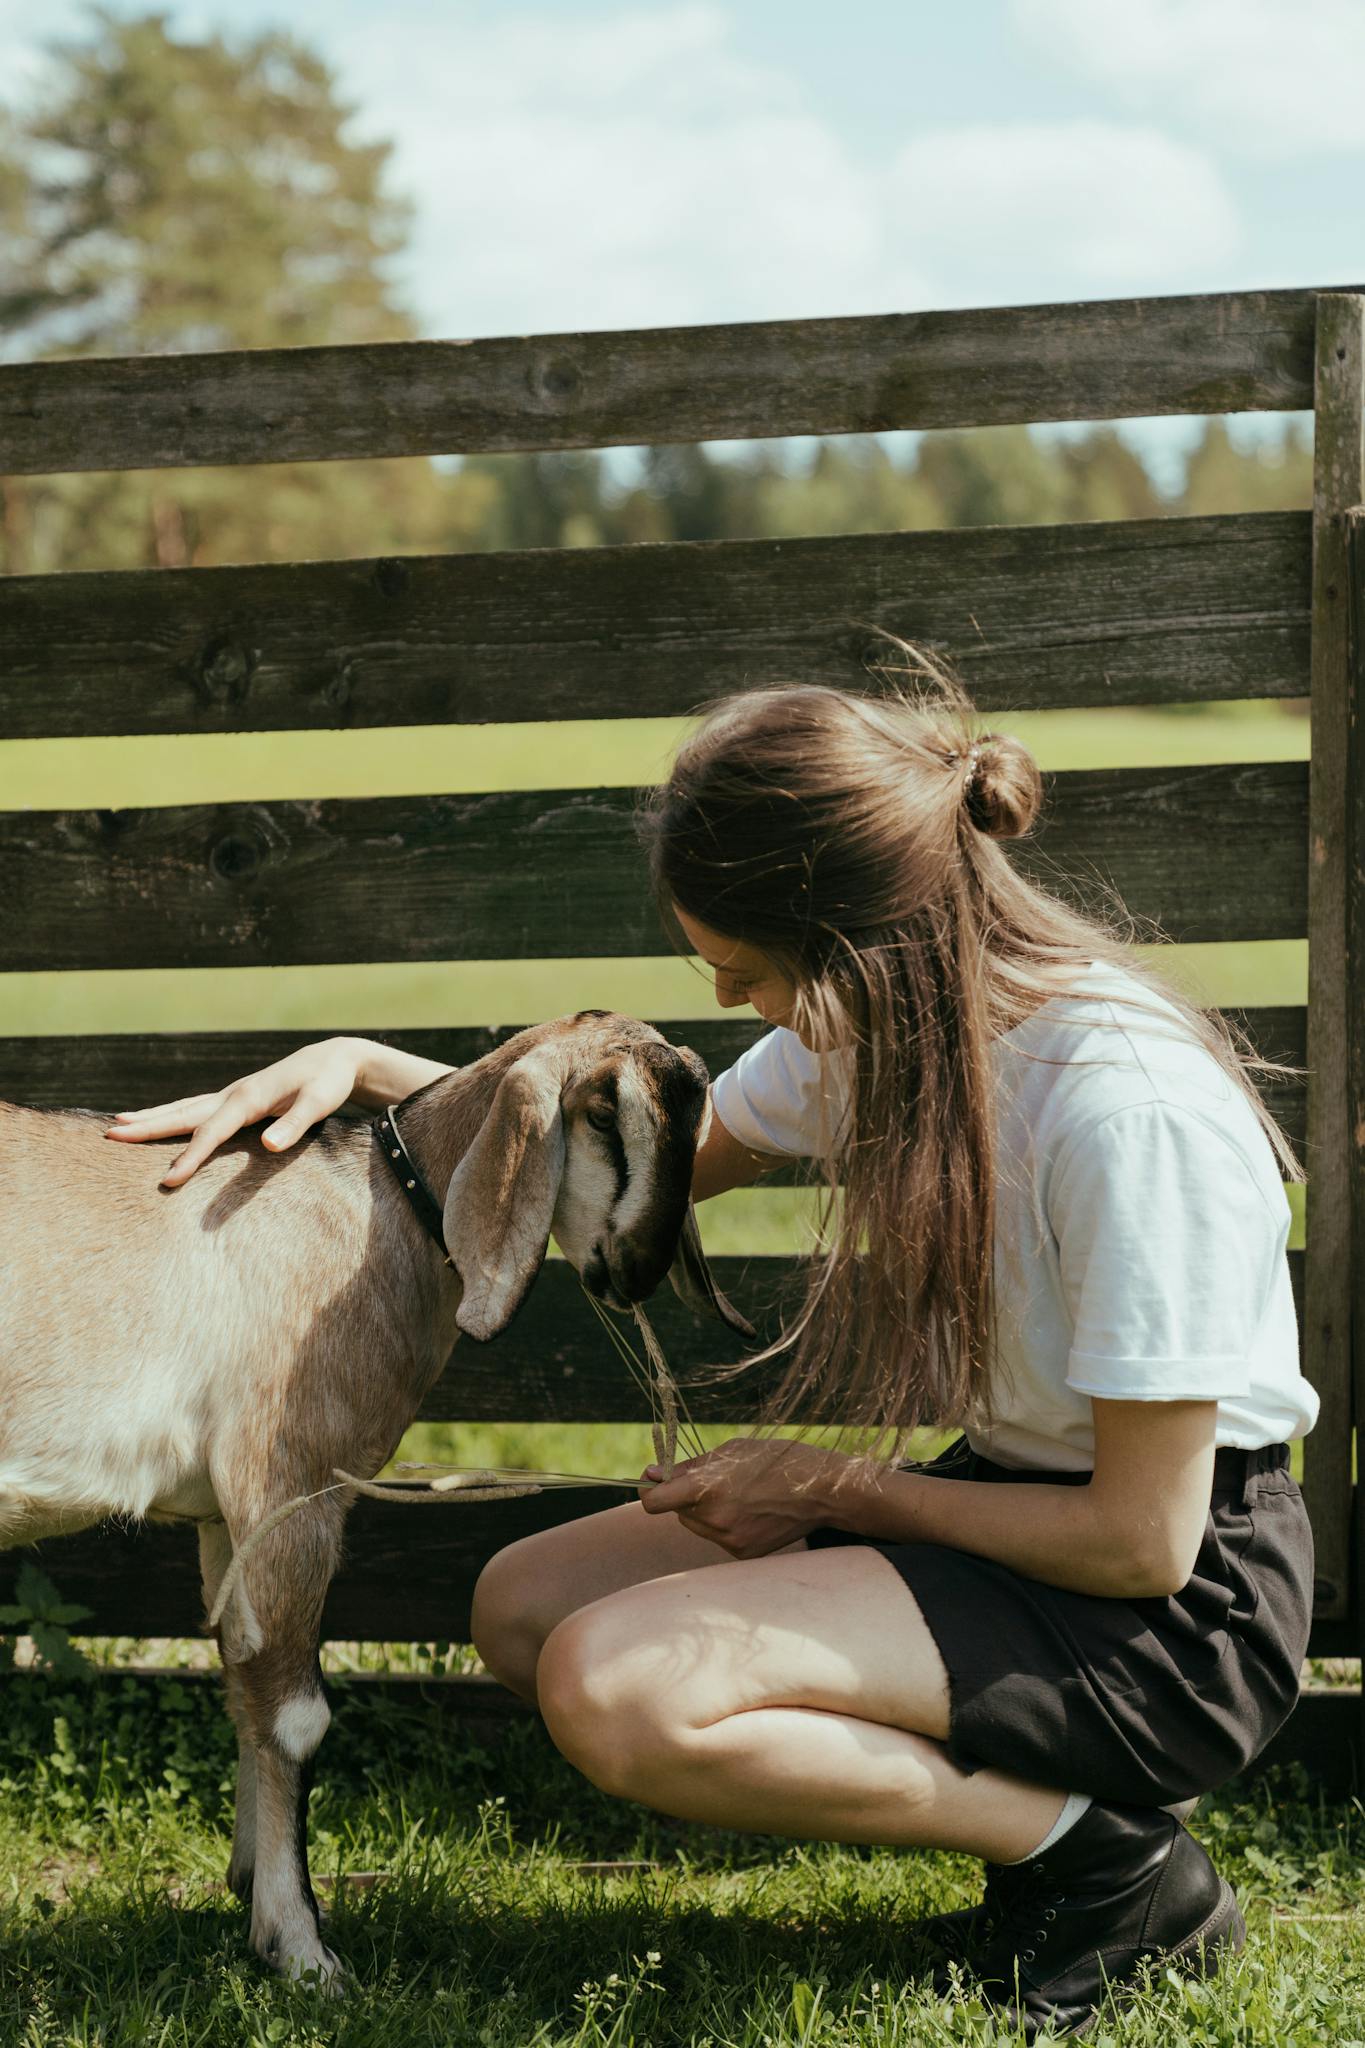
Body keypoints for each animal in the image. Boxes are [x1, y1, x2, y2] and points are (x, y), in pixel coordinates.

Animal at [0, 1010, 748, 1986]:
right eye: (602, 1115)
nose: (637, 1271)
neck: (375, 1211)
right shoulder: (291, 1481)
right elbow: (296, 1716)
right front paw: (300, 1949)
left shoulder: (228, 1517)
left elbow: (244, 1685)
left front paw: (251, 1885)